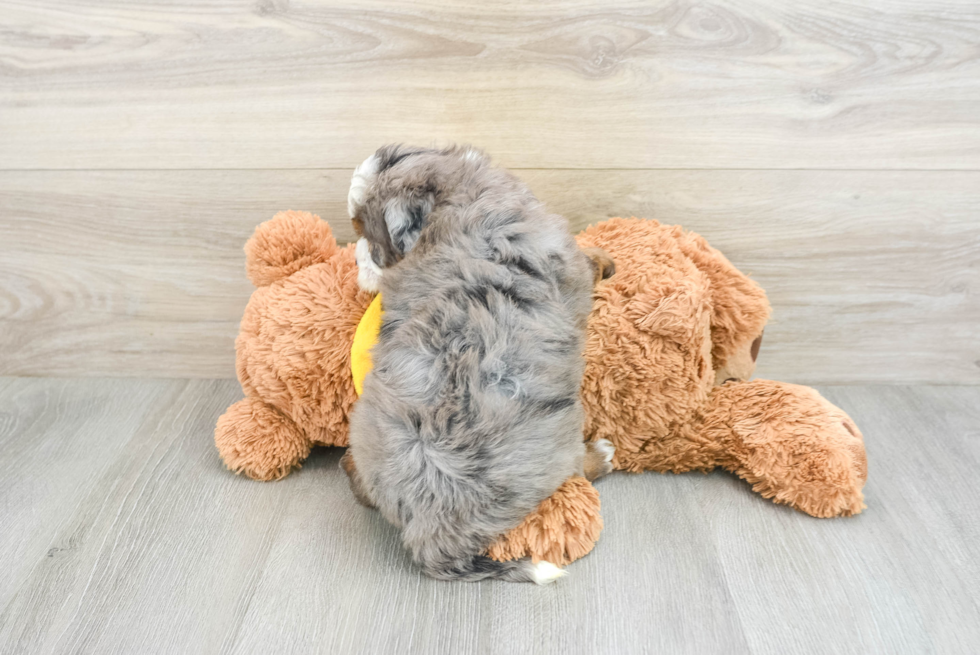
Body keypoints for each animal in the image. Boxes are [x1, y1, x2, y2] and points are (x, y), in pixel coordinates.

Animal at [342, 144, 612, 584]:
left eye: (364, 231)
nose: (359, 262)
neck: (458, 198)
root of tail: (430, 532)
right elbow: (588, 265)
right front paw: (603, 260)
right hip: (560, 441)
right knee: (577, 468)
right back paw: (601, 455)